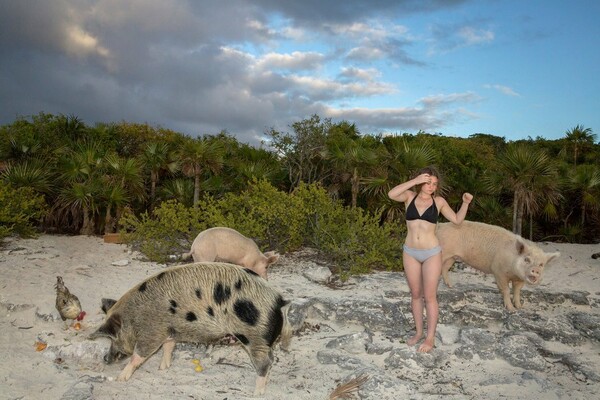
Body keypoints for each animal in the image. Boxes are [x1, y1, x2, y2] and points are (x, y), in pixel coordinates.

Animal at [89, 260, 292, 396]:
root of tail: (278, 300)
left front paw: (120, 379)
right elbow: (168, 346)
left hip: (254, 336)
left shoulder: (151, 332)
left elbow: (139, 355)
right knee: (270, 360)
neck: (134, 317)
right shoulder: (169, 330)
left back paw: (256, 393)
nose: (106, 359)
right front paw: (163, 368)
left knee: (265, 362)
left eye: (112, 337)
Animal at [436, 222, 564, 312]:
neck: (513, 273)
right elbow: (506, 290)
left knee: (444, 268)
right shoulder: (498, 272)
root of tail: (440, 226)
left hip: (452, 257)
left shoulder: (520, 280)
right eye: (527, 259)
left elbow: (517, 291)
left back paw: (450, 286)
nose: (536, 270)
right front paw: (511, 310)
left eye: (541, 264)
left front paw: (520, 307)